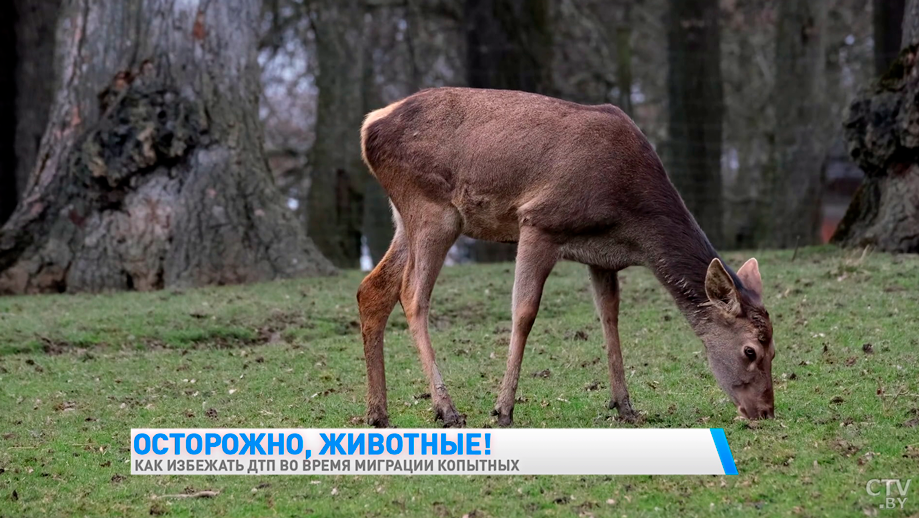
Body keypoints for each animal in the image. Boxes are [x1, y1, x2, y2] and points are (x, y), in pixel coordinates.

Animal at [356, 87, 772, 428]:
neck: (631, 224)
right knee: (412, 294)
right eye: (750, 350)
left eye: (774, 346)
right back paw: (446, 408)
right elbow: (524, 312)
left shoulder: (602, 256)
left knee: (372, 290)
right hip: (433, 208)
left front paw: (625, 406)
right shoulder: (539, 221)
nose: (766, 411)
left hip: (405, 217)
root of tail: (368, 125)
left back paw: (378, 413)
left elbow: (610, 317)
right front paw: (503, 409)